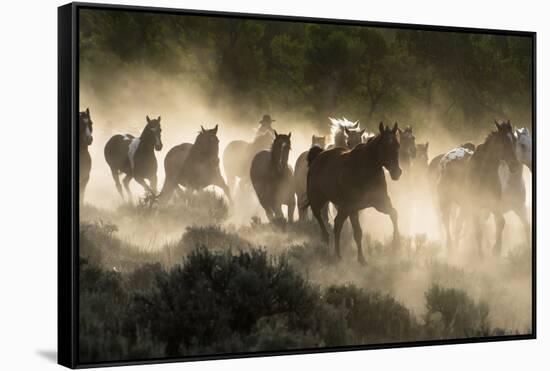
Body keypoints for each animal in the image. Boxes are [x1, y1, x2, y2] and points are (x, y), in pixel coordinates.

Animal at [306, 122, 402, 264]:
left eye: (397, 145)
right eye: (384, 146)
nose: (397, 172)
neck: (364, 170)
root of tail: (318, 156)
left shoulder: (380, 203)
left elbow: (394, 214)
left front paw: (396, 244)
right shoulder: (353, 208)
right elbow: (358, 233)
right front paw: (361, 259)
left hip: (342, 208)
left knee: (337, 223)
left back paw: (337, 253)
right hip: (319, 199)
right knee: (319, 216)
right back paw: (327, 240)